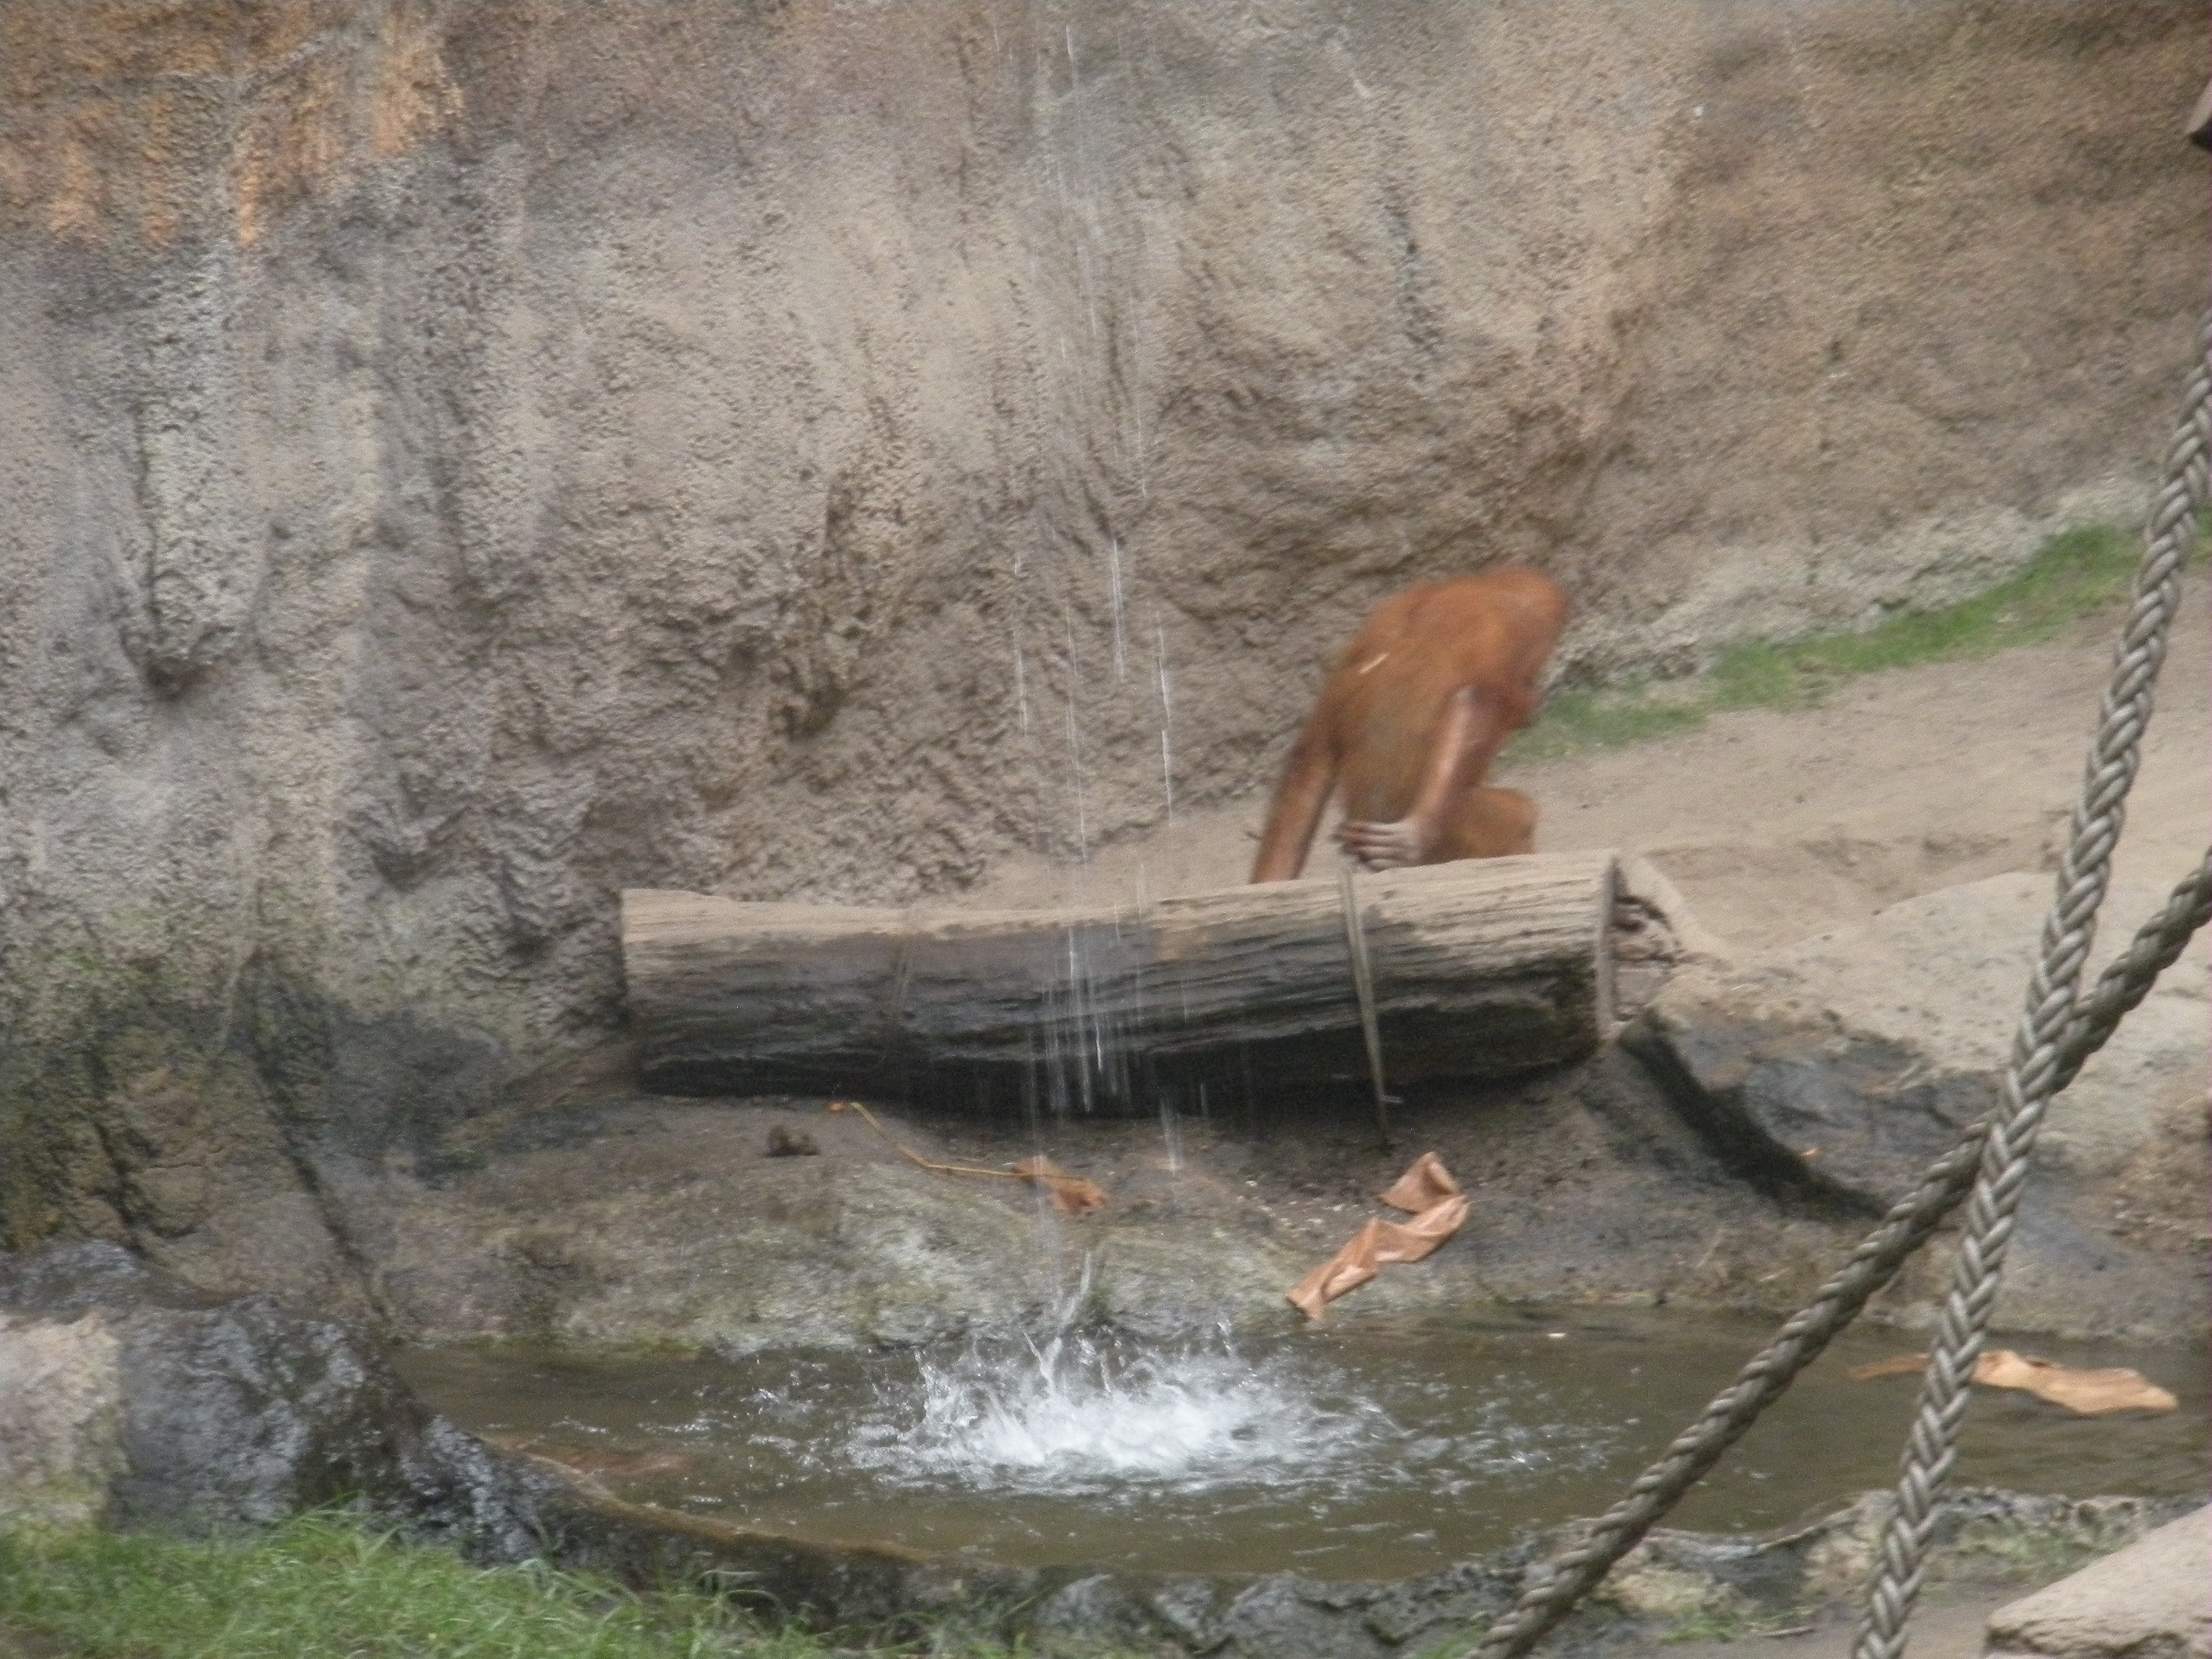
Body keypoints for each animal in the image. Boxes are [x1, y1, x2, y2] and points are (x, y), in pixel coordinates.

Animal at [1249, 568, 1569, 883]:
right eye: (1531, 678)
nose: (1534, 698)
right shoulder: (1522, 626)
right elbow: (1473, 703)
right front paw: (1417, 834)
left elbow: (1311, 754)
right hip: (1455, 829)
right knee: (1519, 817)